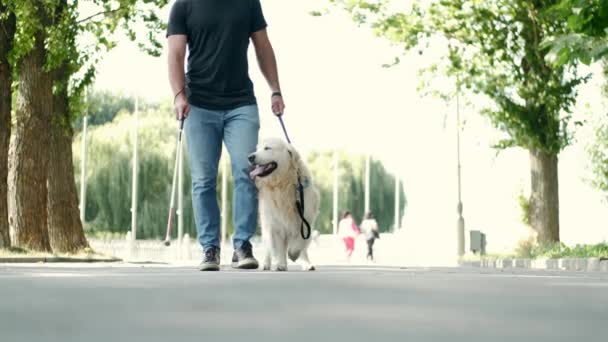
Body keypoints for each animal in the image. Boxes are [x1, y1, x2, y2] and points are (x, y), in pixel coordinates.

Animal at [248, 138, 320, 272]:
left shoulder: (305, 219)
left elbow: (300, 242)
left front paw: (293, 254)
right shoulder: (275, 223)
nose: (250, 157)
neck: (282, 184)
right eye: (257, 148)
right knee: (268, 247)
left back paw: (306, 263)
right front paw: (281, 264)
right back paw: (266, 264)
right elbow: (279, 247)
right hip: (266, 223)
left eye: (267, 148)